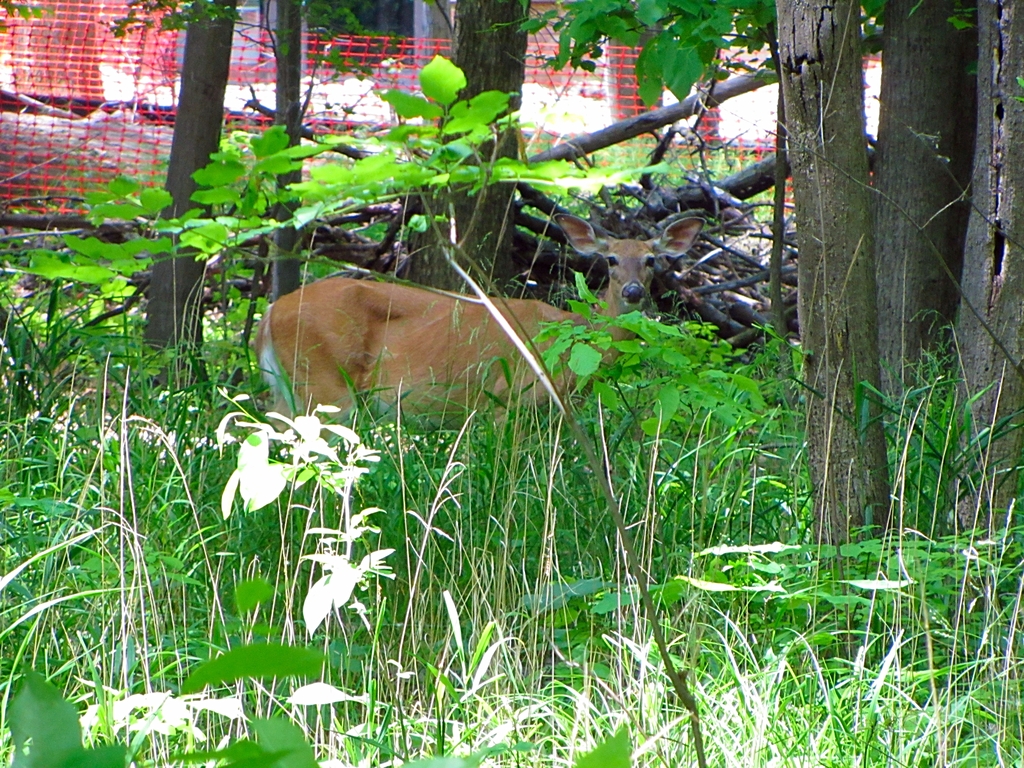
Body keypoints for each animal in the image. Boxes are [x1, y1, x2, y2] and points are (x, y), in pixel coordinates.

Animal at [255, 214, 704, 419]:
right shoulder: (508, 398)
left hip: (287, 390)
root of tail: (269, 315)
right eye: (610, 260)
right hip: (324, 384)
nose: (633, 292)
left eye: (651, 260)